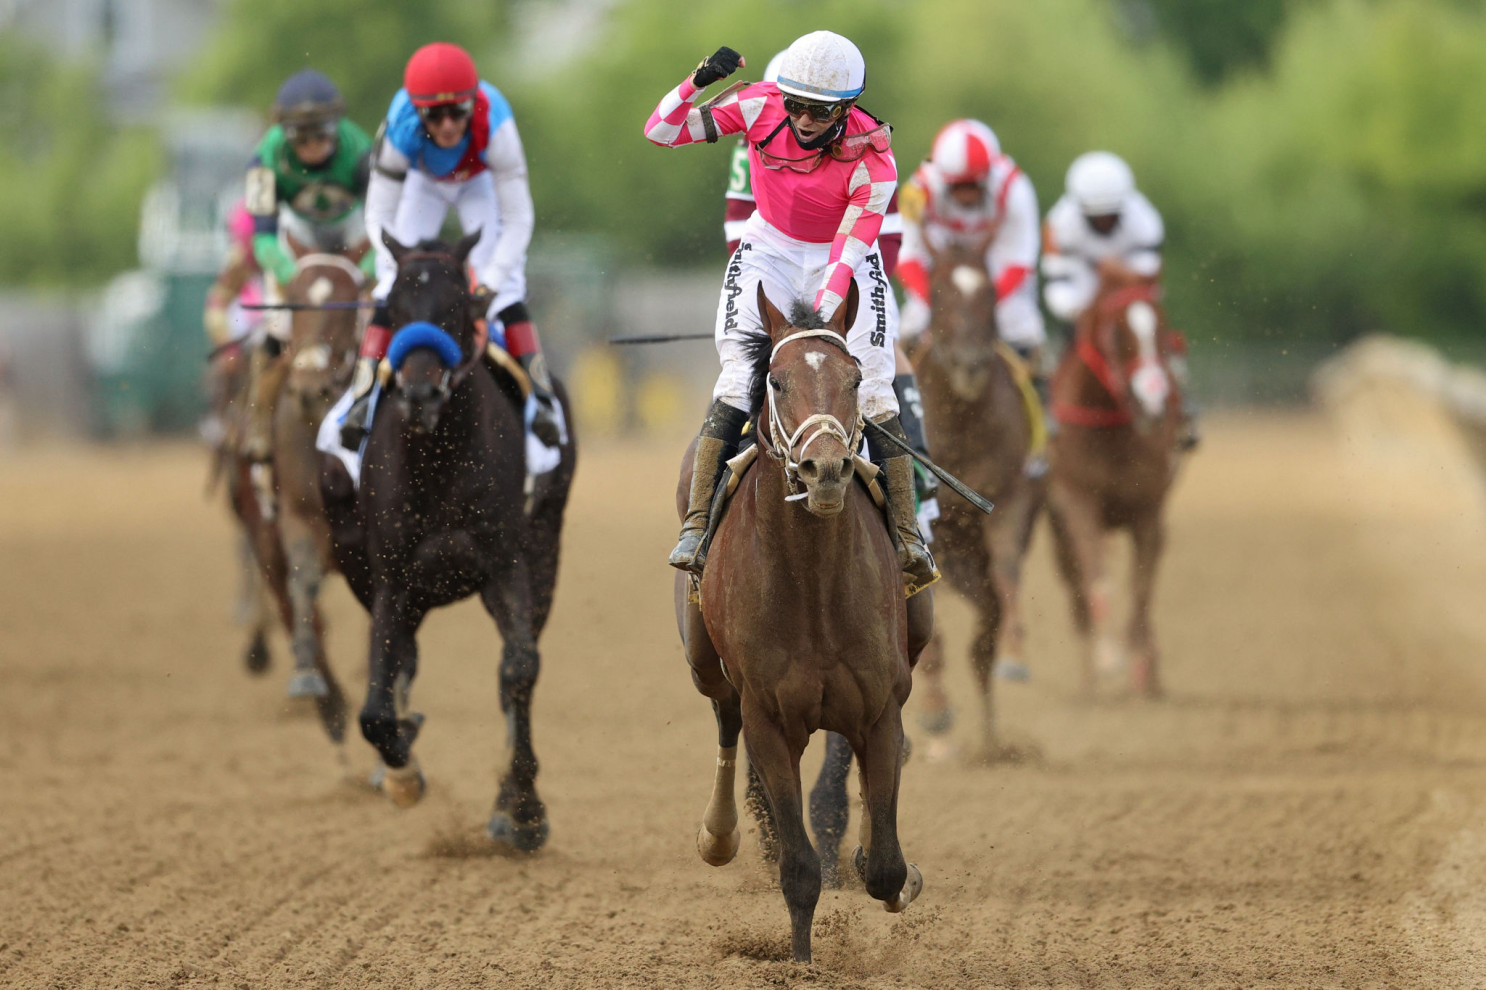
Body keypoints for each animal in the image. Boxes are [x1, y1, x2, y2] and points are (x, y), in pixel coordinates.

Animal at [323, 231, 573, 850]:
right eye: (391, 307)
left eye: (458, 306)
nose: (418, 393)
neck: (437, 461)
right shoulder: (392, 580)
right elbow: (374, 705)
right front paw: (403, 772)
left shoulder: (505, 564)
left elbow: (519, 669)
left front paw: (522, 807)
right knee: (402, 663)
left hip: (544, 553)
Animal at [671, 280, 921, 957]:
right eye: (777, 382)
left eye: (854, 377)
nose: (825, 469)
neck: (813, 586)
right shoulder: (770, 718)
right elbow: (800, 869)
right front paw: (802, 962)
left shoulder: (879, 709)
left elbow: (886, 864)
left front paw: (888, 872)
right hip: (705, 665)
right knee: (724, 719)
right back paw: (718, 833)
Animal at [903, 237, 1046, 755]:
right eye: (938, 289)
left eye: (989, 292)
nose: (969, 362)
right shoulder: (929, 526)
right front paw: (934, 708)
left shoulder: (1010, 497)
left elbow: (1004, 584)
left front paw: (1012, 655)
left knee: (988, 610)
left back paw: (990, 738)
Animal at [1046, 273, 1182, 698]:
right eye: (1118, 333)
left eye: (1162, 327)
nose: (1155, 399)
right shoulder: (1078, 504)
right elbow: (1097, 581)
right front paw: (1107, 658)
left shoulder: (1148, 510)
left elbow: (1141, 585)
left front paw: (1141, 663)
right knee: (1077, 589)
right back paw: (1089, 677)